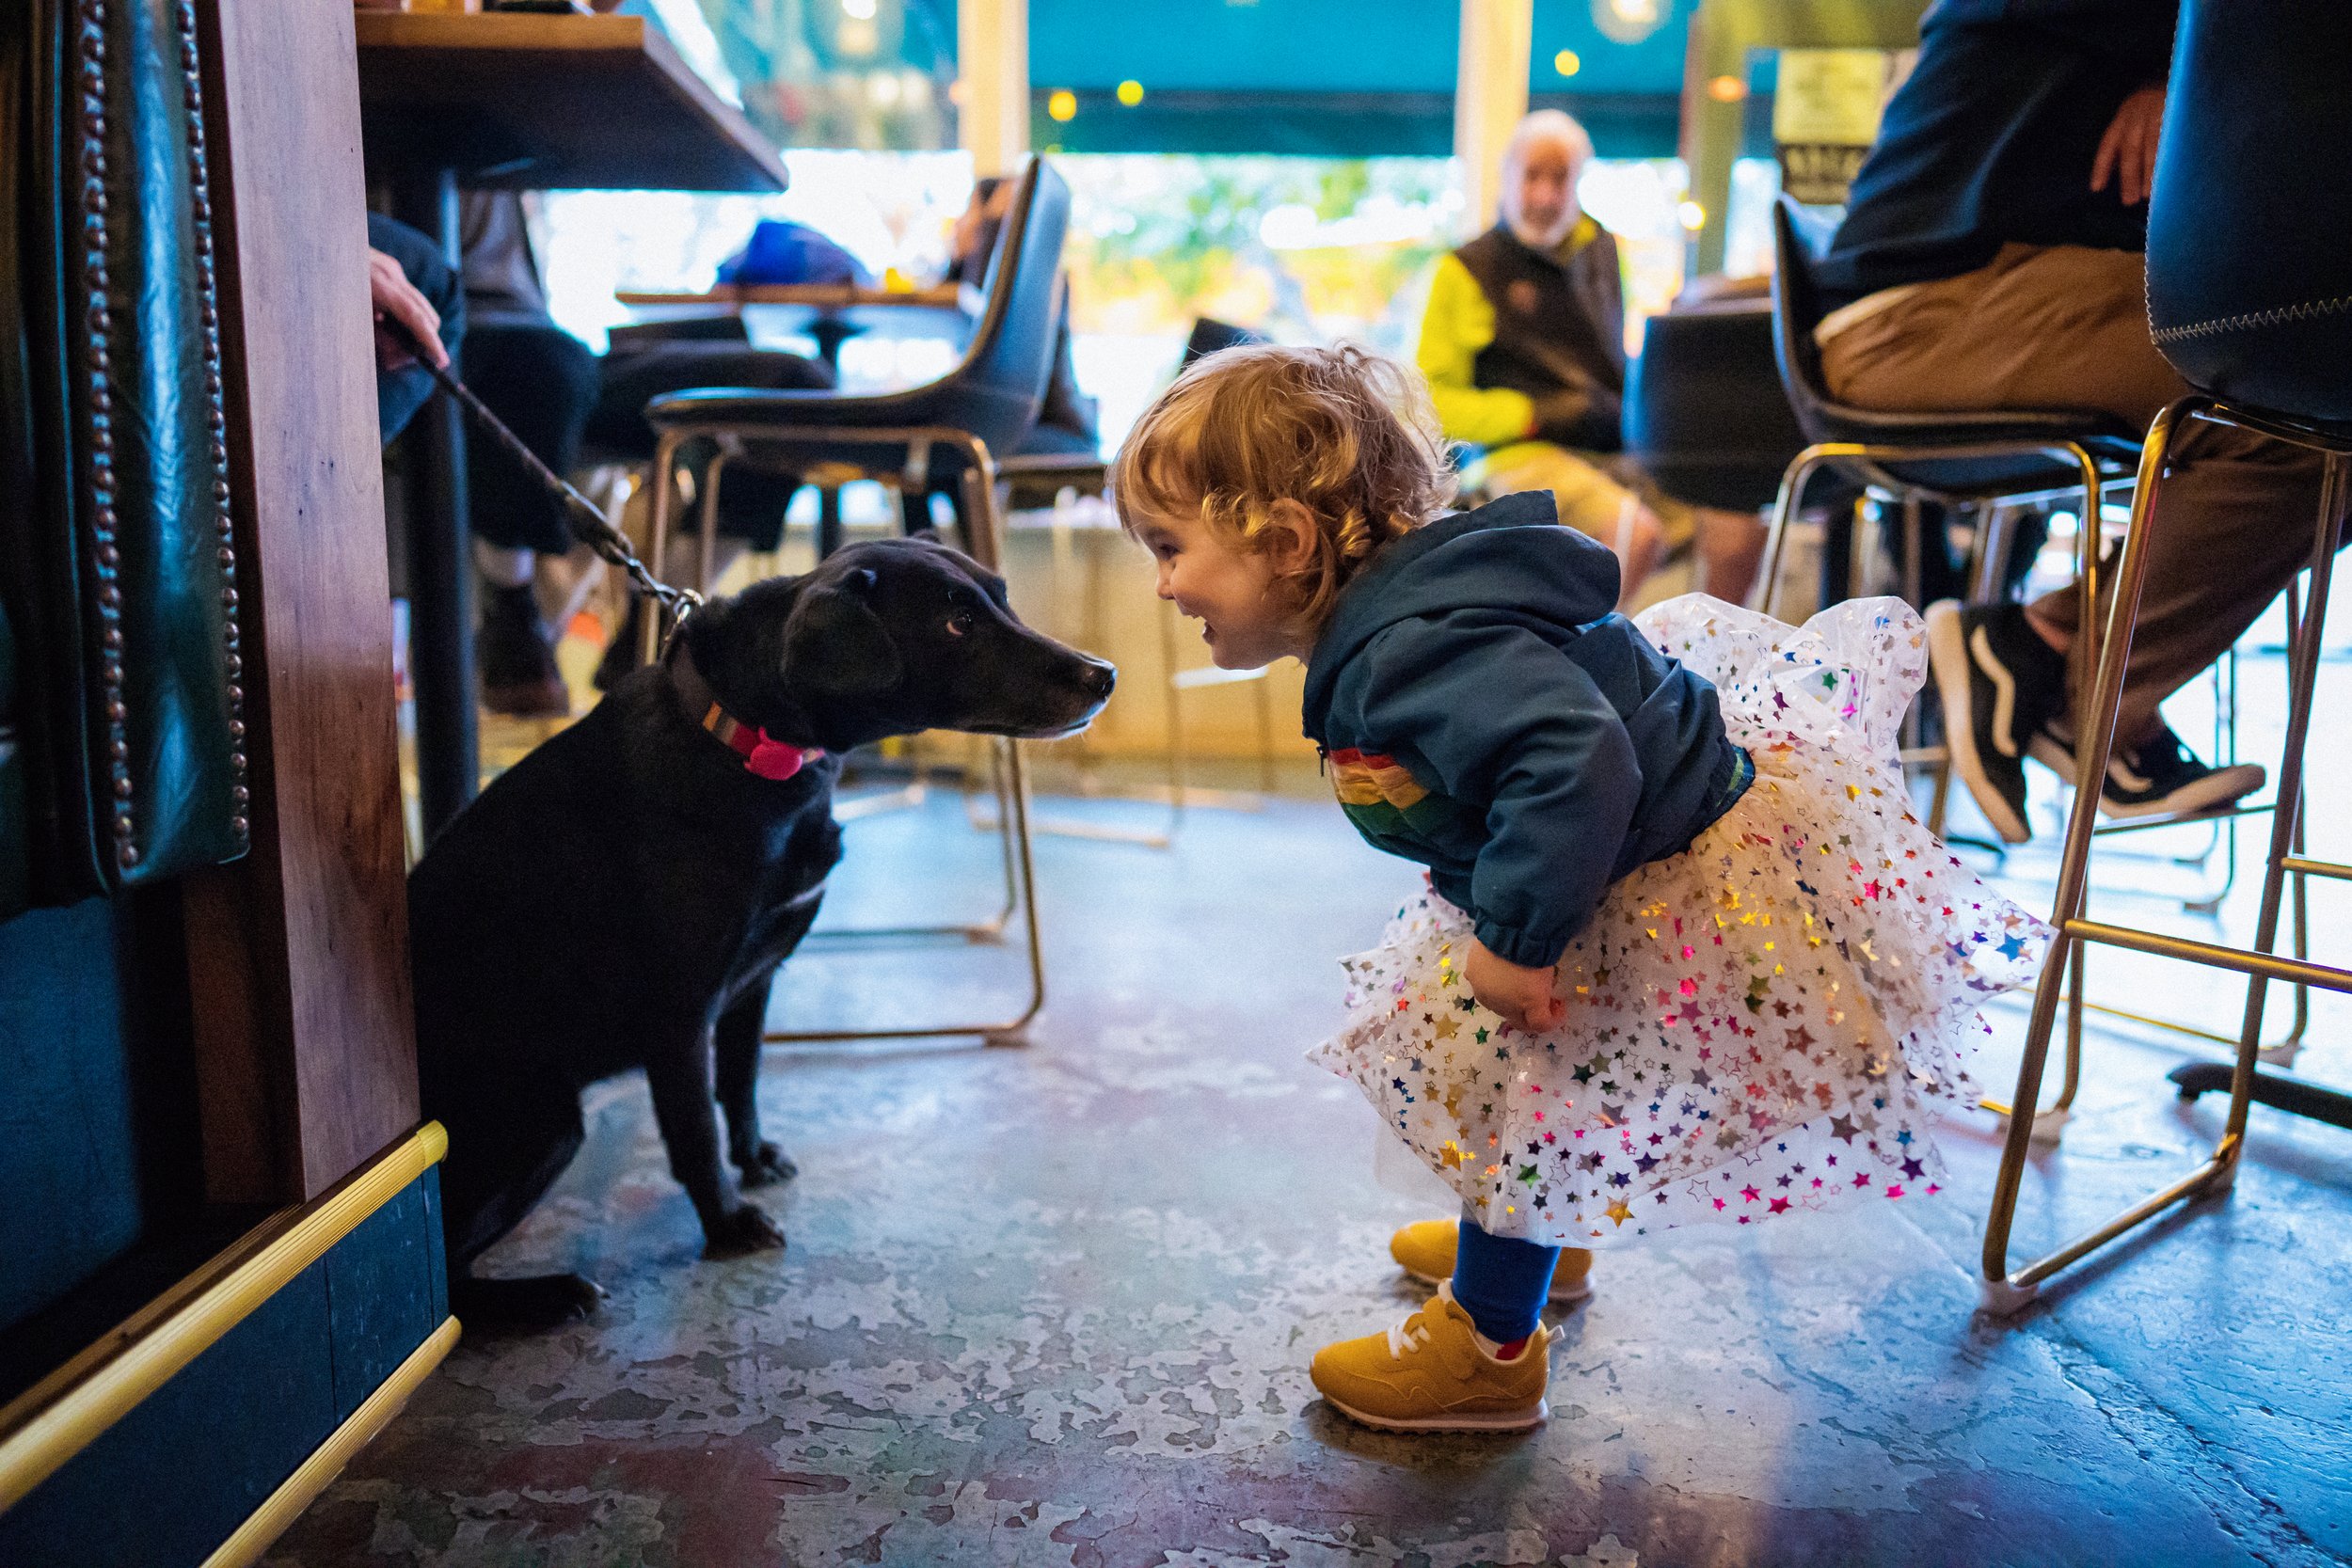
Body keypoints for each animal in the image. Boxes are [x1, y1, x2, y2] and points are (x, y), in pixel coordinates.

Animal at [409, 535, 1115, 1325]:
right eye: (957, 622)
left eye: (1000, 596)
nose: (1104, 675)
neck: (747, 745)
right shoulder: (681, 1012)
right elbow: (694, 1127)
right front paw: (727, 1223)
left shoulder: (755, 981)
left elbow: (740, 1082)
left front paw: (754, 1160)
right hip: (546, 1120)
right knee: (446, 1283)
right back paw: (550, 1294)